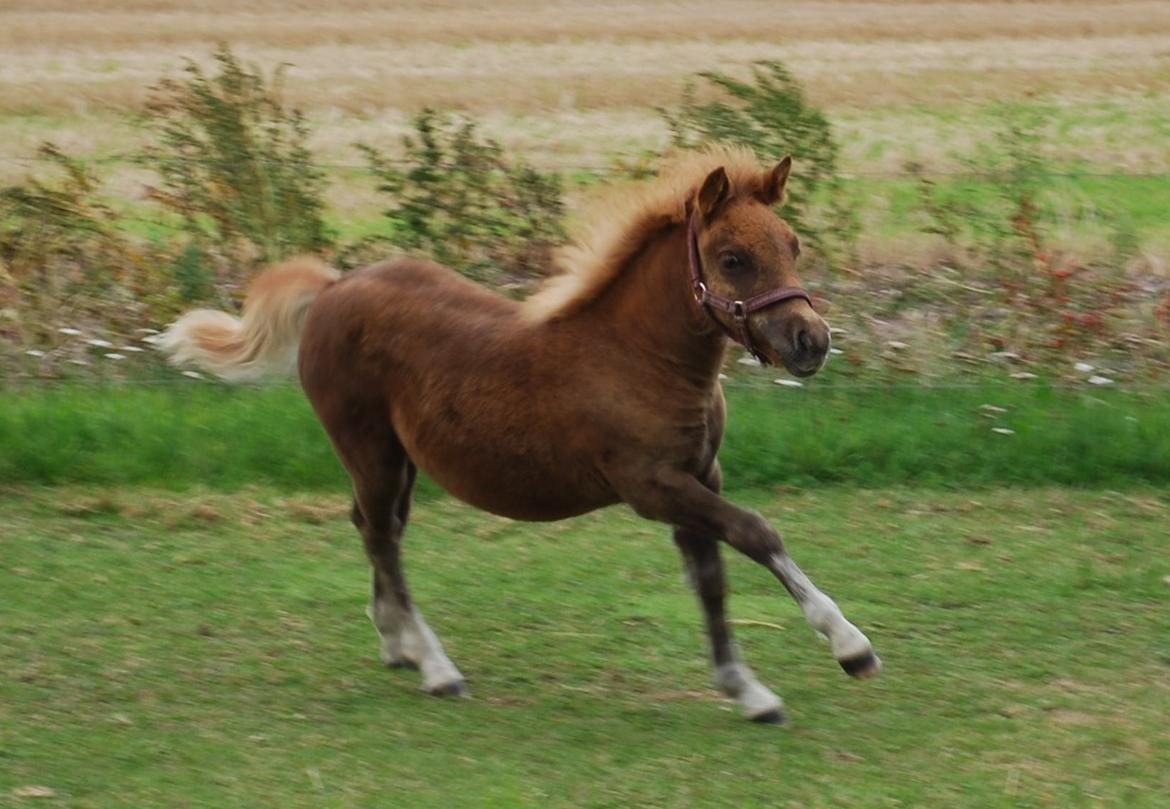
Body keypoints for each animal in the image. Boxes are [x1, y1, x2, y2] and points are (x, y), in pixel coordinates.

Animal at [160, 148, 879, 725]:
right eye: (733, 258)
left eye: (793, 245)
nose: (812, 341)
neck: (636, 357)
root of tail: (336, 285)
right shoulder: (652, 485)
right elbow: (757, 533)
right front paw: (850, 645)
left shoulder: (700, 475)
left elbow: (710, 578)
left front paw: (747, 690)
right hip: (368, 448)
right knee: (382, 535)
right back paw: (437, 667)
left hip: (400, 457)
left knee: (372, 526)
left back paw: (397, 642)